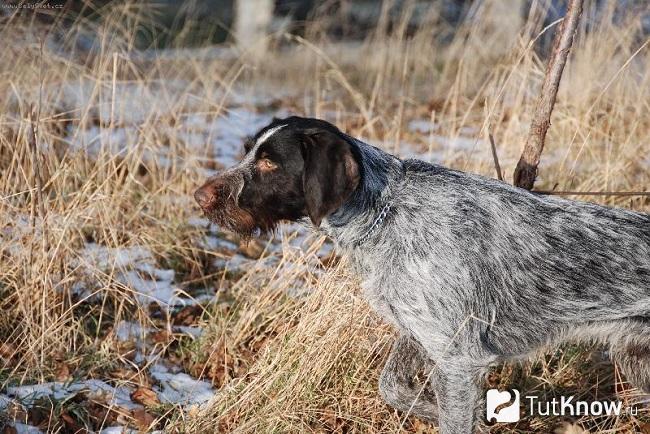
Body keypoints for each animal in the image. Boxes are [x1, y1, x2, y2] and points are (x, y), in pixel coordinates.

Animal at [194, 116, 648, 434]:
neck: (383, 211)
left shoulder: (457, 359)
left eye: (270, 163)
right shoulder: (420, 330)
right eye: (249, 152)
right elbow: (392, 385)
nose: (199, 196)